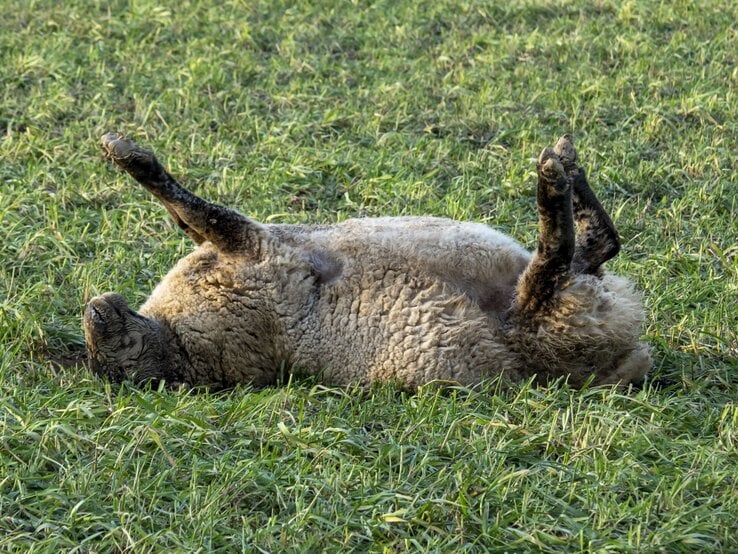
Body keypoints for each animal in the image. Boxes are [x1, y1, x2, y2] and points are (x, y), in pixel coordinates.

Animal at [83, 133, 651, 390]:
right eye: (114, 359)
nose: (96, 312)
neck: (175, 347)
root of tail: (626, 359)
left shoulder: (251, 245)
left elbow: (185, 210)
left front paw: (123, 154)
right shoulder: (258, 251)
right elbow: (189, 205)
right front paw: (132, 158)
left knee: (596, 248)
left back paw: (565, 169)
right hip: (549, 320)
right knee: (557, 263)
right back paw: (554, 183)